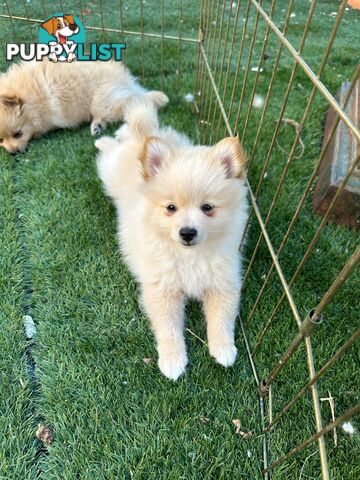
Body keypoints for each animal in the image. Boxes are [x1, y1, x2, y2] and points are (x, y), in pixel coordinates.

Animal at [0, 60, 167, 153]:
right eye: (0, 140)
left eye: (18, 134)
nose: (13, 152)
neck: (33, 96)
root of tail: (127, 81)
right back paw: (97, 126)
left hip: (102, 102)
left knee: (136, 101)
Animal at [95, 103, 248, 380]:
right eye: (171, 208)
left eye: (207, 208)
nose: (187, 232)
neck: (190, 256)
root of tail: (144, 136)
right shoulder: (162, 289)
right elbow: (168, 328)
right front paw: (172, 360)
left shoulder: (223, 281)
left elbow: (222, 317)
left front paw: (224, 349)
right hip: (110, 173)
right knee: (114, 147)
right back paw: (103, 141)